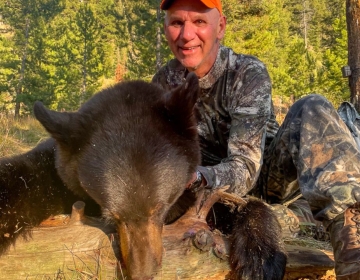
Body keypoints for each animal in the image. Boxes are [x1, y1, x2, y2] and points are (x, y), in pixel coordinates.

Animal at [0, 73, 286, 278]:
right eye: (111, 217)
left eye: (160, 208)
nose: (143, 273)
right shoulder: (60, 172)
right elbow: (26, 176)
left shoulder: (193, 190)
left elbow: (236, 203)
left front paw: (261, 258)